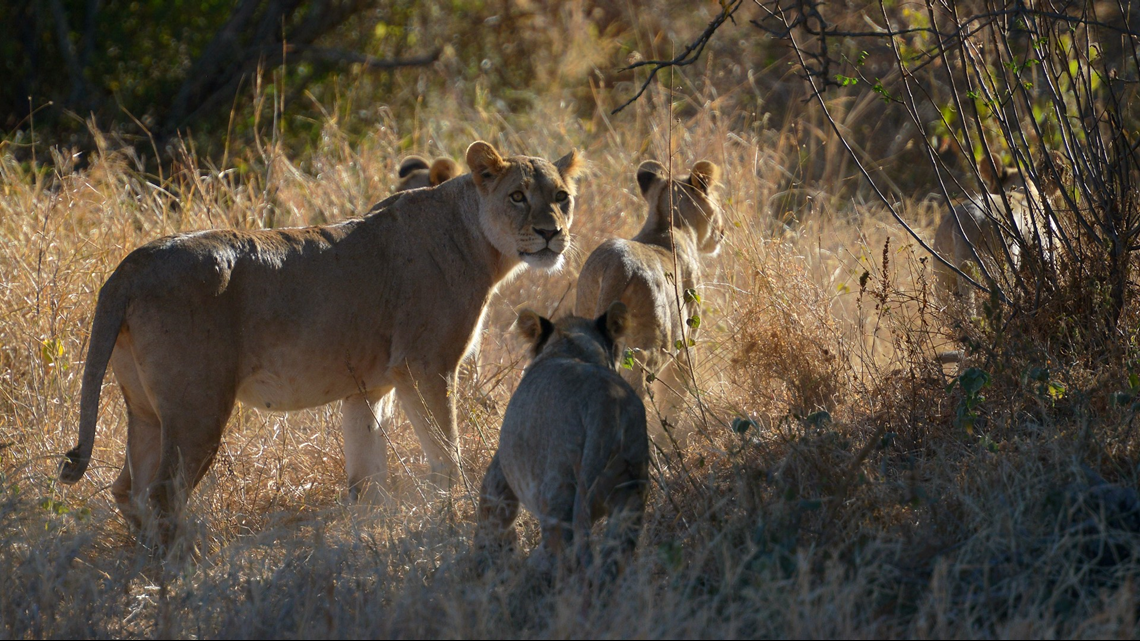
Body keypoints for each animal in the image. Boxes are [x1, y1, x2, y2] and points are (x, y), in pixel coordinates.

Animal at [57, 140, 583, 533]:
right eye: (517, 196)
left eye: (561, 197)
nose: (551, 233)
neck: (475, 237)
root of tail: (131, 265)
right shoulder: (425, 366)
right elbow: (445, 456)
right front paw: (450, 519)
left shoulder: (367, 388)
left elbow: (367, 478)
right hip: (197, 407)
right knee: (165, 493)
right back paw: (179, 572)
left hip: (146, 409)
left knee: (129, 489)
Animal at [474, 301, 652, 574]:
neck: (572, 345)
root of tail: (603, 405)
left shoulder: (500, 469)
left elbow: (491, 515)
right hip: (631, 493)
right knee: (614, 557)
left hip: (556, 492)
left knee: (565, 557)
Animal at [574, 159, 725, 415]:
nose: (722, 232)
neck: (667, 223)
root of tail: (618, 265)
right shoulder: (687, 346)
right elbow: (674, 402)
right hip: (652, 350)